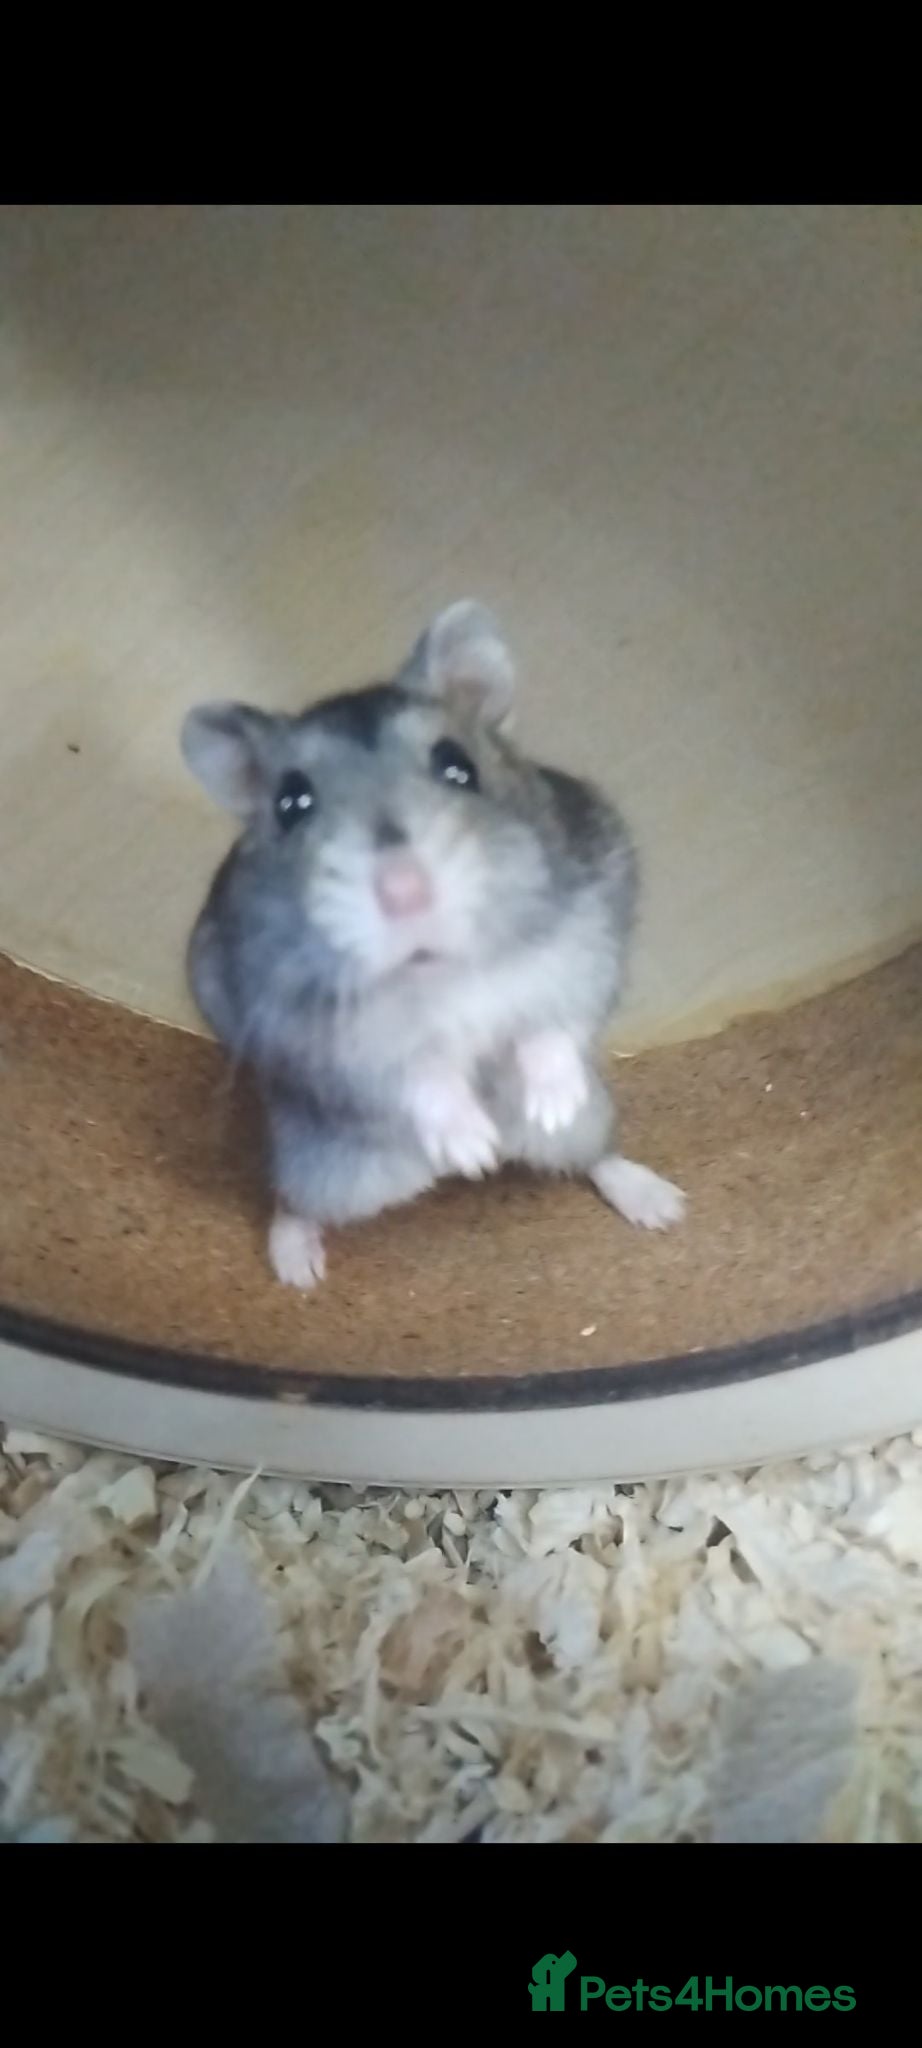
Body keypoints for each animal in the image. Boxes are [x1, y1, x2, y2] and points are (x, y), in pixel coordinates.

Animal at [181, 600, 685, 1289]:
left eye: (458, 765)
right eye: (290, 802)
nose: (404, 892)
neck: (440, 972)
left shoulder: (591, 935)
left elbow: (549, 1024)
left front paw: (548, 1102)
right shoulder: (322, 1038)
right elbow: (419, 1072)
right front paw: (474, 1150)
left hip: (593, 1121)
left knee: (594, 1154)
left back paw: (657, 1202)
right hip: (329, 1167)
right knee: (289, 1199)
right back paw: (301, 1269)